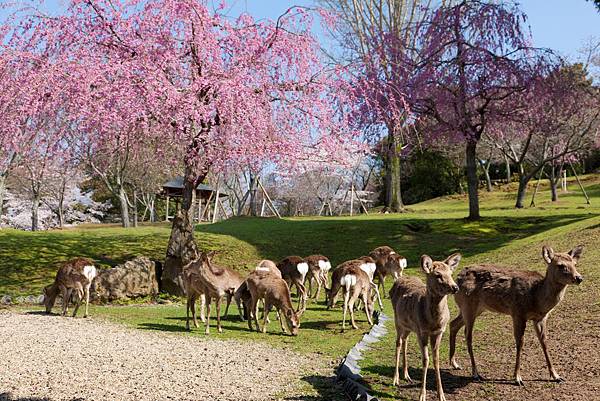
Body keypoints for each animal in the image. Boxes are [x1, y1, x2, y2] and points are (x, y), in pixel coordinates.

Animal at [390, 253, 460, 400]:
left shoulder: (439, 332)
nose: (455, 287)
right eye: (438, 275)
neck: (434, 322)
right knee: (398, 342)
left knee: (405, 341)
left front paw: (441, 395)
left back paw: (406, 375)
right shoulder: (422, 331)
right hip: (398, 320)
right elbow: (425, 360)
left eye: (450, 273)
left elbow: (436, 360)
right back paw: (395, 379)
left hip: (409, 326)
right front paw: (422, 395)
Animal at [448, 244, 584, 384]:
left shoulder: (540, 318)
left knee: (453, 324)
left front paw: (556, 376)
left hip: (475, 308)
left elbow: (544, 342)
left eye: (575, 263)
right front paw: (517, 377)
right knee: (467, 334)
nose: (579, 278)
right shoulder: (518, 313)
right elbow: (520, 342)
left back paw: (454, 363)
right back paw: (475, 373)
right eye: (560, 265)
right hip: (468, 304)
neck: (536, 298)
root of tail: (457, 278)